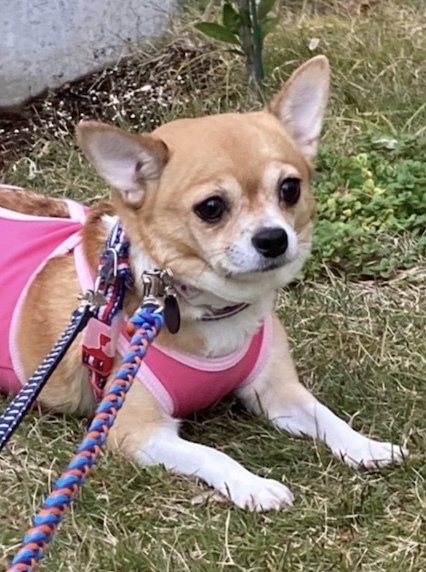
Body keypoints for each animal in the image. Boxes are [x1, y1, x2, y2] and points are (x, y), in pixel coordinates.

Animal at [0, 56, 407, 511]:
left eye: (290, 188)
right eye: (211, 208)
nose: (273, 238)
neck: (212, 310)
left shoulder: (279, 394)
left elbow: (326, 416)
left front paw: (365, 446)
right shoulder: (136, 432)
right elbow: (213, 455)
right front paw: (255, 486)